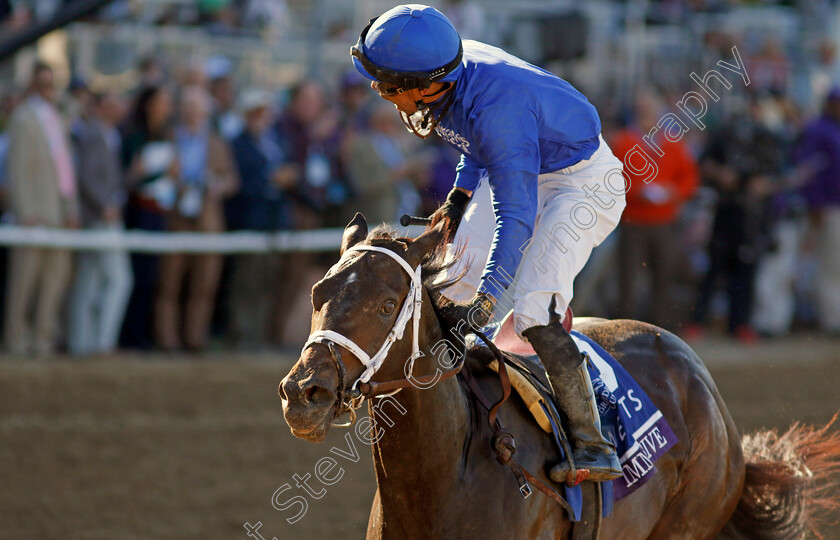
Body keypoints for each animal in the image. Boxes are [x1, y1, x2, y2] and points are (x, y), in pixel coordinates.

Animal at [280, 215, 840, 540]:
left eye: (386, 303)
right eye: (316, 293)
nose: (303, 393)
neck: (442, 479)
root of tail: (698, 374)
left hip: (689, 520)